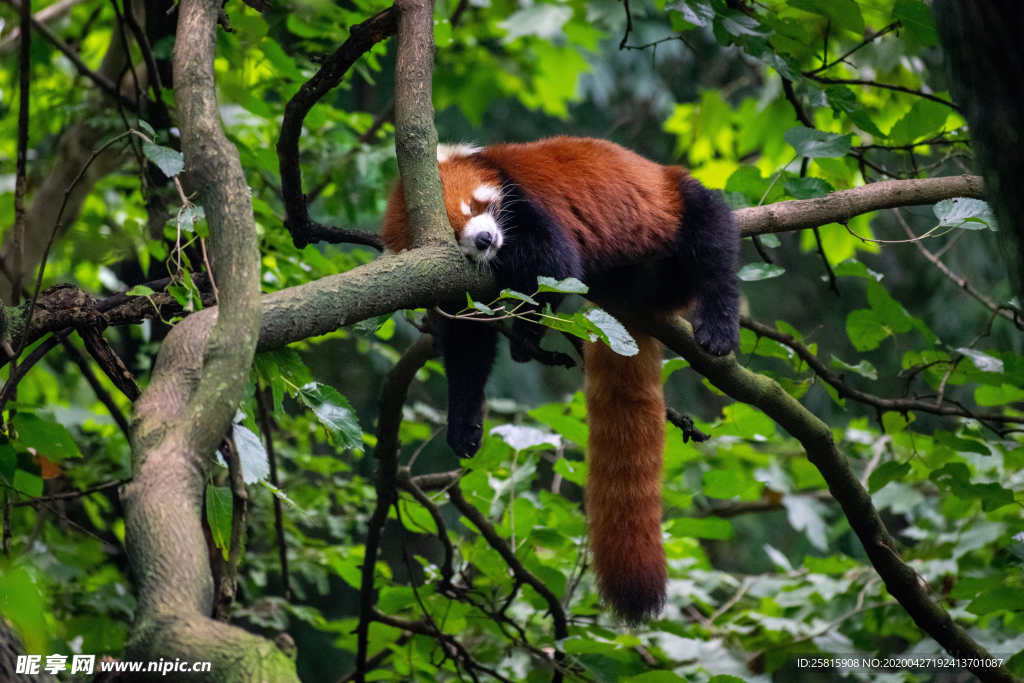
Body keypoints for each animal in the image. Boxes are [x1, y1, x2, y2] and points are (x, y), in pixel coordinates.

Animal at [380, 136, 741, 626]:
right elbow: (469, 350)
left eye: (474, 205)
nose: (485, 239)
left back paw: (718, 324)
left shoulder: (525, 203)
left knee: (712, 238)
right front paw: (465, 423)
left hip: (673, 203)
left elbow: (554, 263)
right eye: (455, 235)